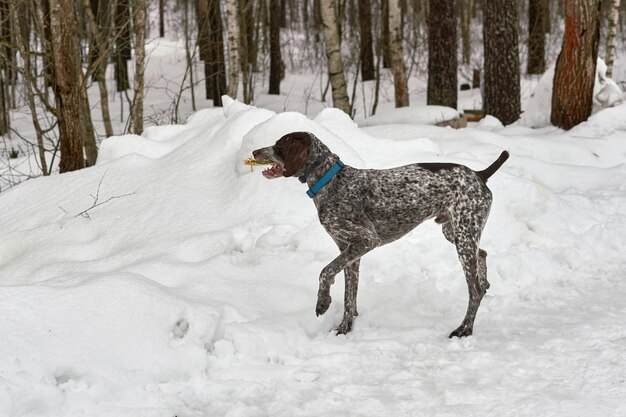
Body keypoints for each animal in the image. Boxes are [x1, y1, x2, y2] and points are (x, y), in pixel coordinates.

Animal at [250, 132, 508, 336]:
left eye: (279, 145)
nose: (254, 150)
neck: (330, 181)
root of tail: (479, 174)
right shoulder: (350, 251)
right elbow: (349, 295)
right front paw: (345, 328)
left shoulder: (366, 240)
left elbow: (325, 272)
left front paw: (323, 302)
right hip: (455, 233)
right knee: (482, 255)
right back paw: (485, 284)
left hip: (463, 238)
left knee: (474, 291)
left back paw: (465, 329)